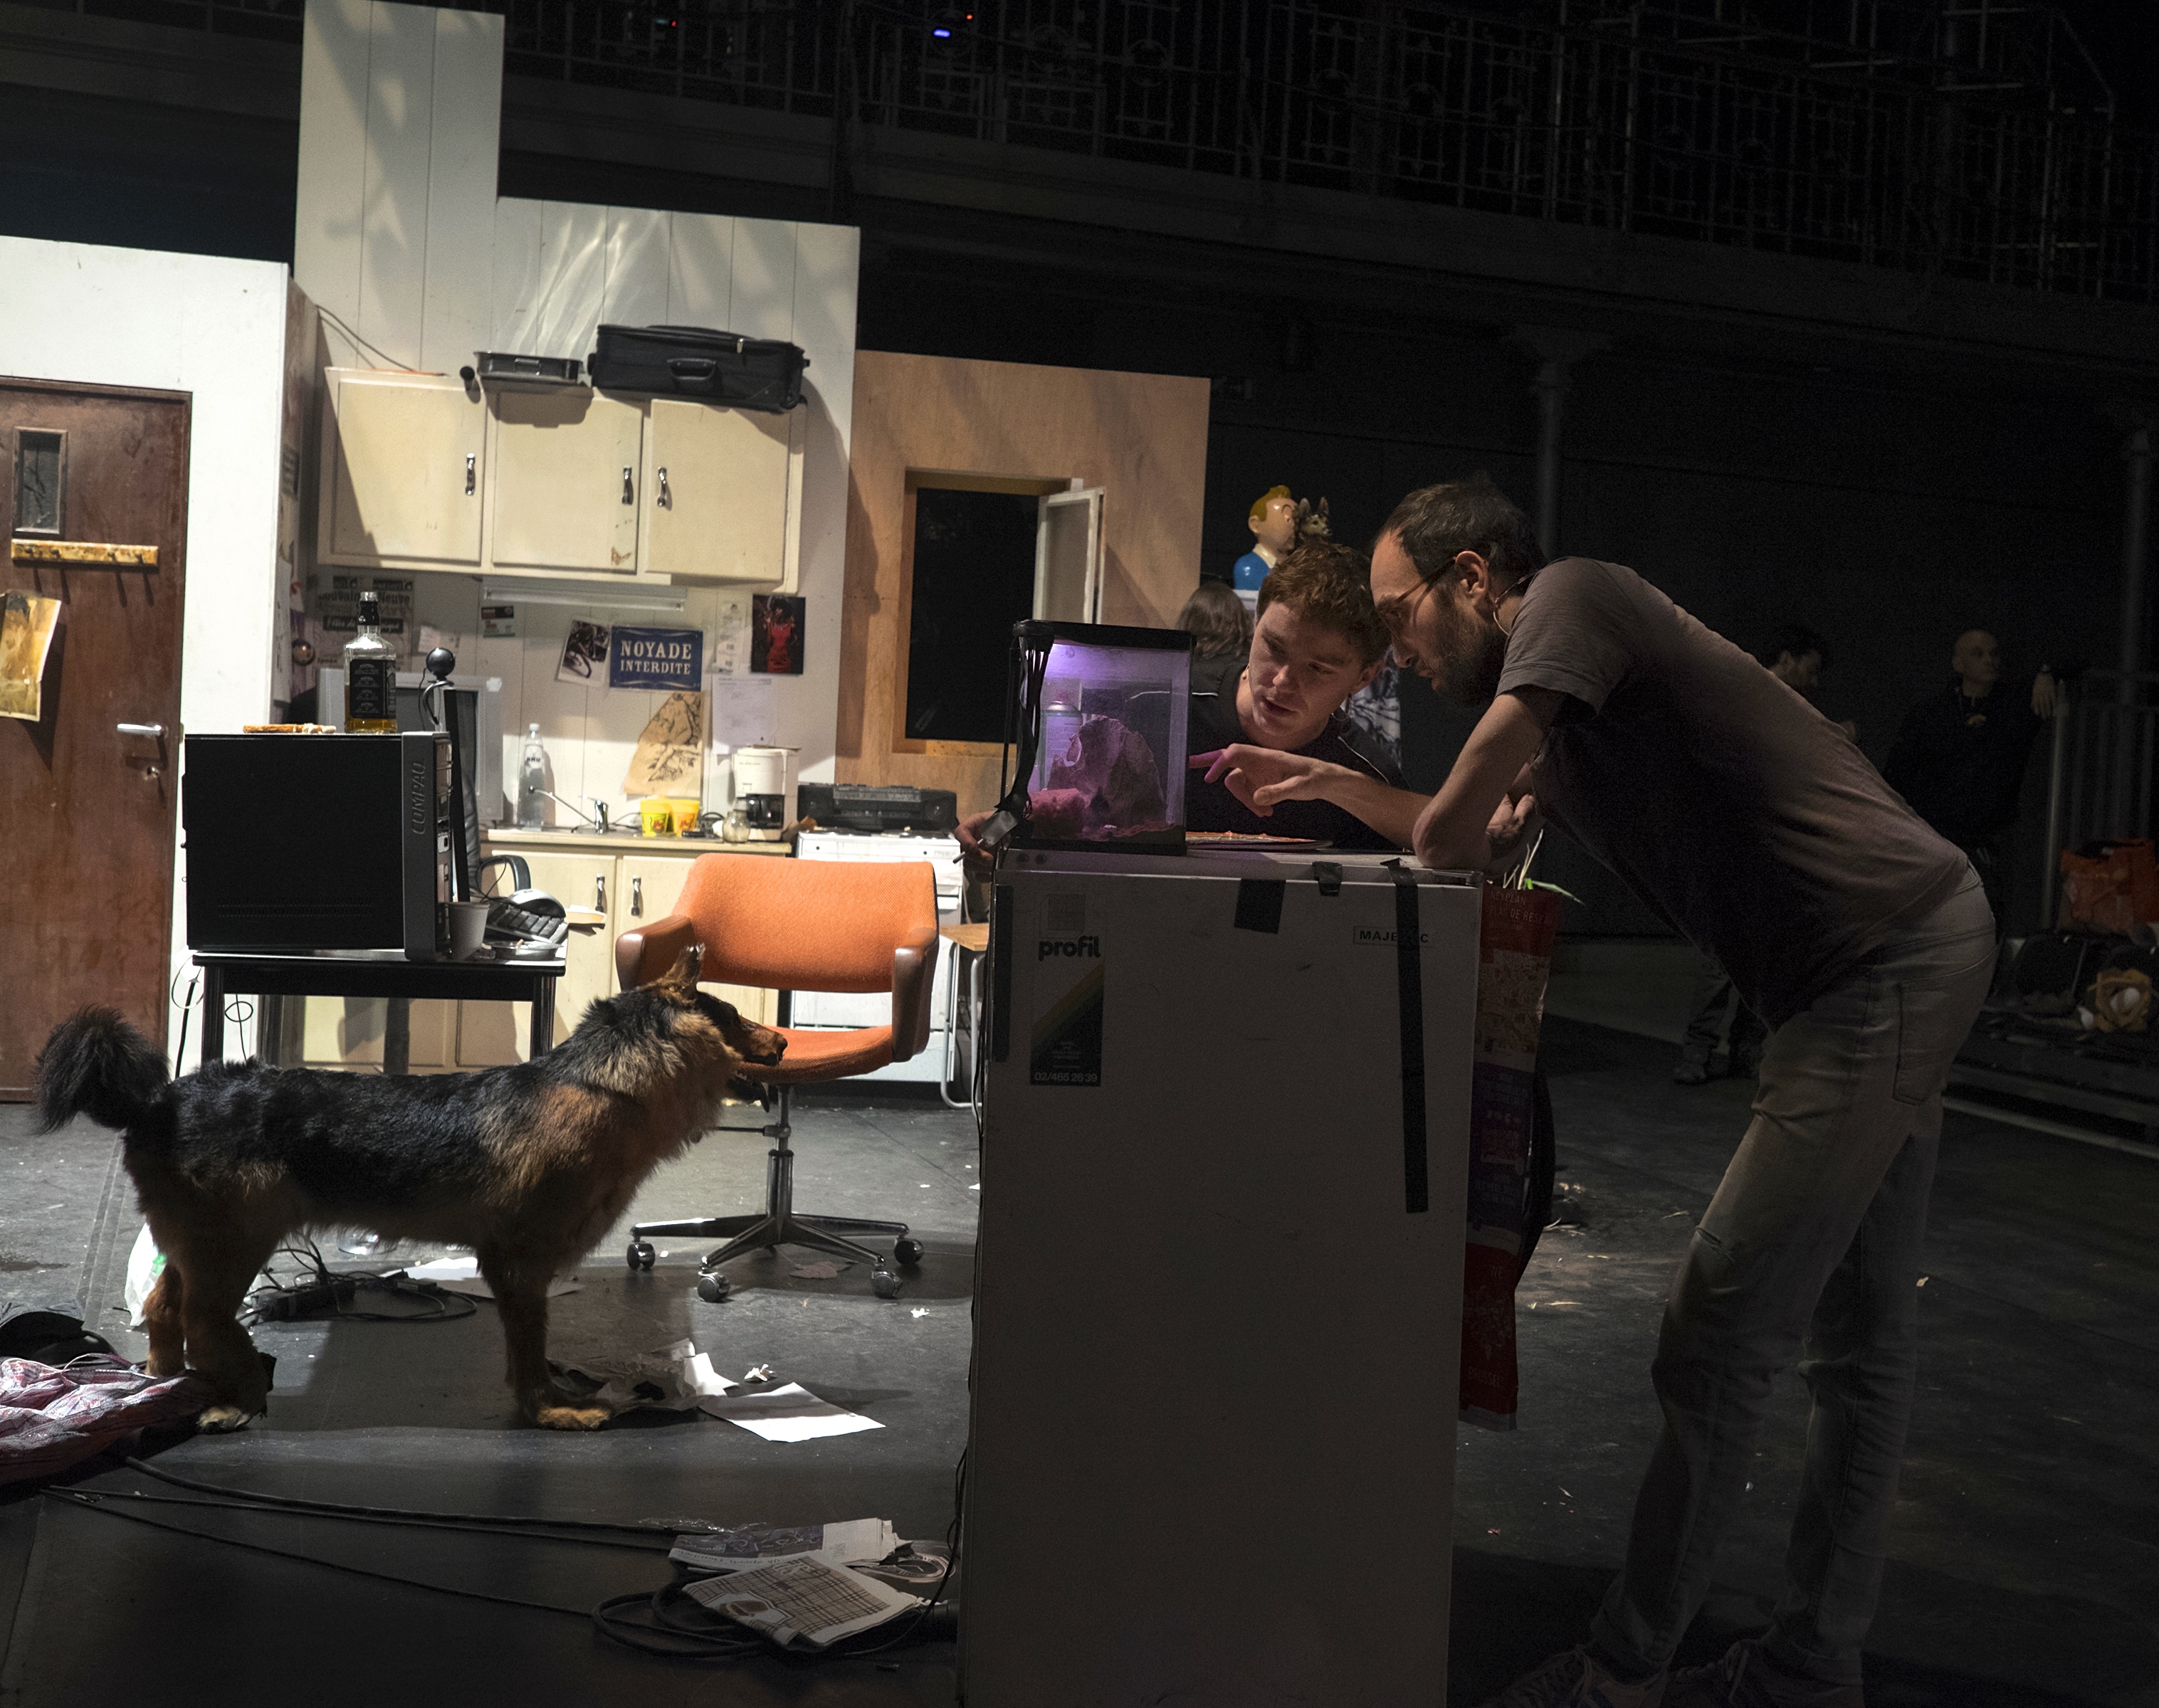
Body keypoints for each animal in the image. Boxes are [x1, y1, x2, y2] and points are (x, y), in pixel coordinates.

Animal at [36, 953, 784, 1432]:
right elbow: (529, 1349)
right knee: (205, 1320)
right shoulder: (518, 1265)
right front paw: (547, 1409)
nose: (782, 1040)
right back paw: (237, 1393)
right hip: (232, 1245)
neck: (604, 1084)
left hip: (195, 1244)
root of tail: (155, 1102)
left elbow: (534, 1348)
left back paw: (168, 1385)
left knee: (165, 1312)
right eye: (733, 1014)